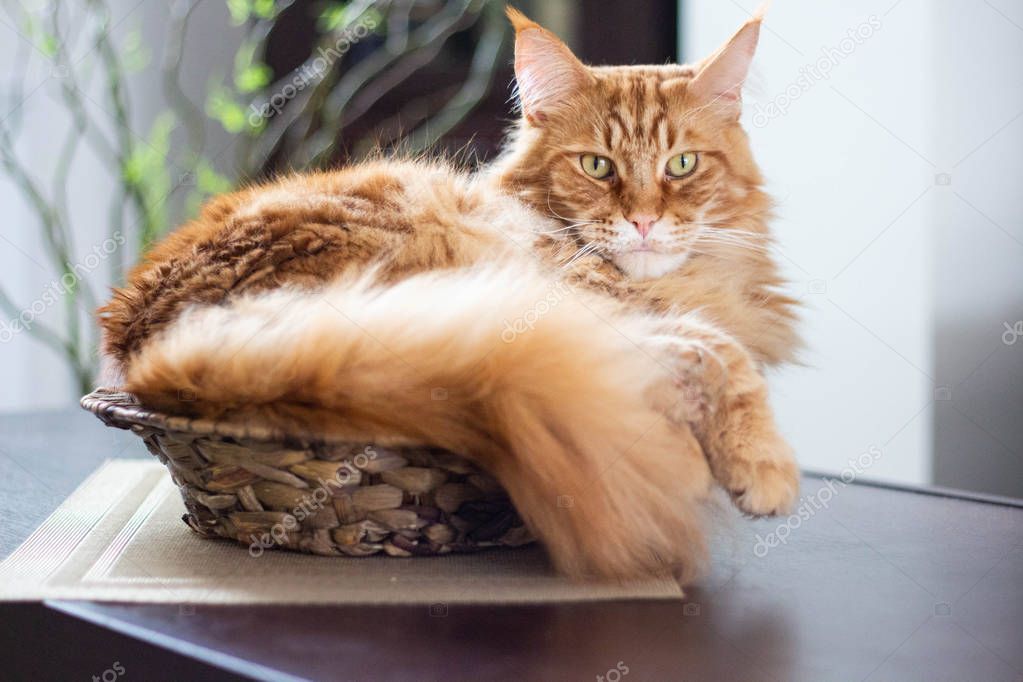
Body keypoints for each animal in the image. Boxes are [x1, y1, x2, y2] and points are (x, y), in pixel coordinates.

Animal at [97, 6, 797, 580]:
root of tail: (150, 347)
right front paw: (763, 468)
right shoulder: (596, 308)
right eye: (597, 166)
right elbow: (724, 353)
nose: (644, 222)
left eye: (683, 165)